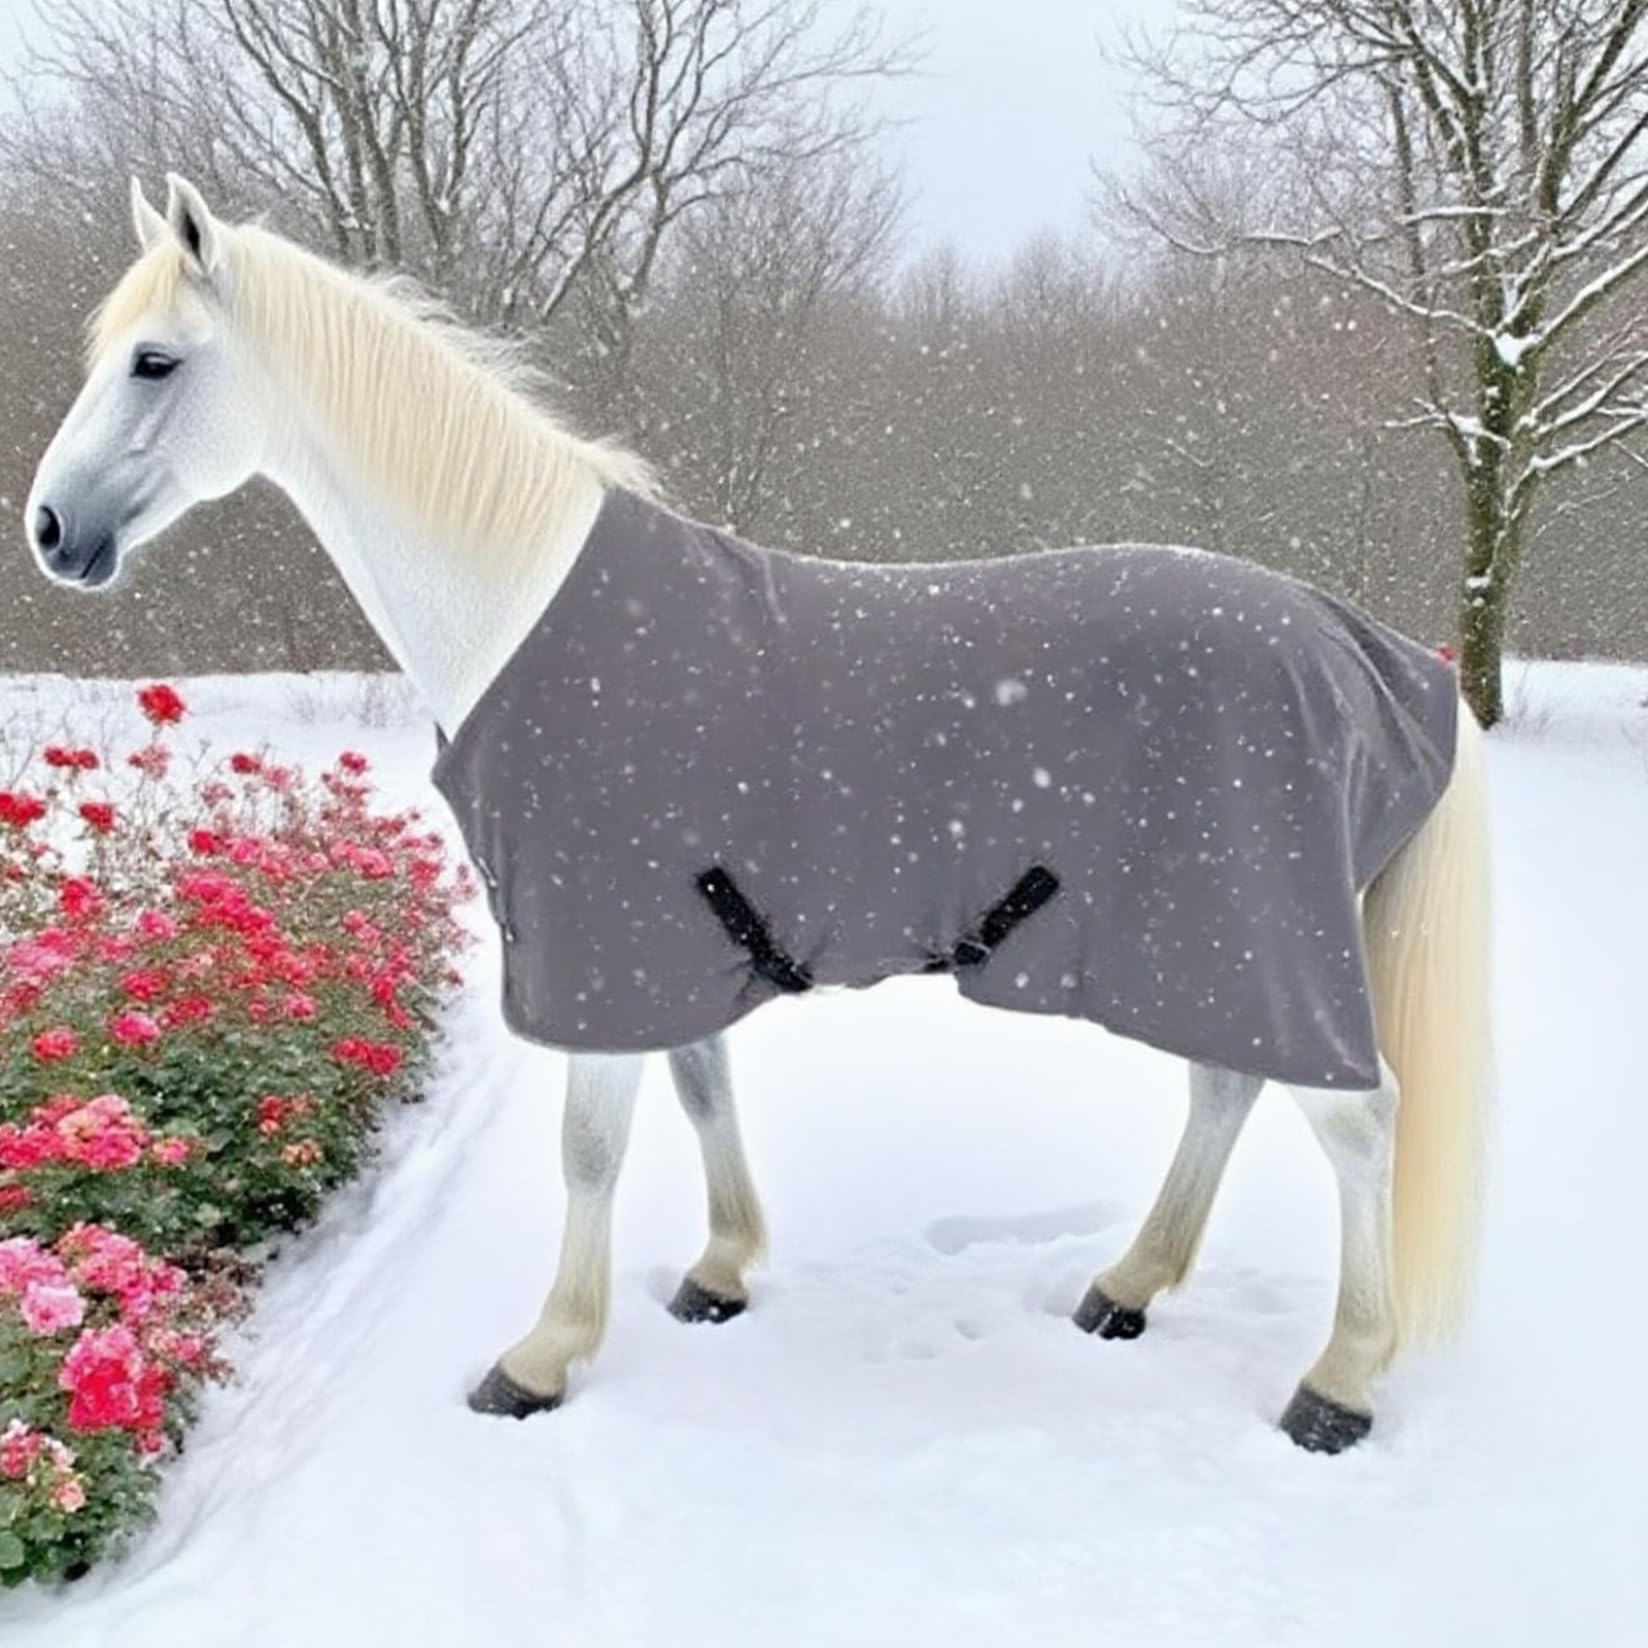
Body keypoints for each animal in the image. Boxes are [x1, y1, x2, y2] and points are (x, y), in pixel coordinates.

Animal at [26, 176, 1490, 1455]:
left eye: (152, 361)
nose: (47, 530)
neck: (526, 606)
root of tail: (1369, 650)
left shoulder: (601, 948)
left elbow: (591, 1152)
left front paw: (540, 1358)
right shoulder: (670, 945)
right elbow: (702, 1091)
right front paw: (719, 1274)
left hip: (1254, 936)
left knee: (1359, 1122)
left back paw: (1337, 1386)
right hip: (1204, 947)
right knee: (1227, 1085)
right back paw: (1127, 1287)